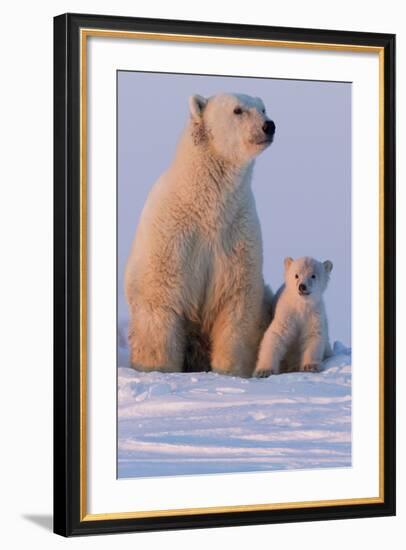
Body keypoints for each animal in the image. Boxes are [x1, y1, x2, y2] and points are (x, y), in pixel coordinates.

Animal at [123, 95, 276, 380]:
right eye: (238, 110)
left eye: (263, 108)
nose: (268, 126)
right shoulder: (172, 234)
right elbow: (160, 297)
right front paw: (158, 369)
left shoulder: (237, 232)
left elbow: (236, 302)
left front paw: (230, 372)